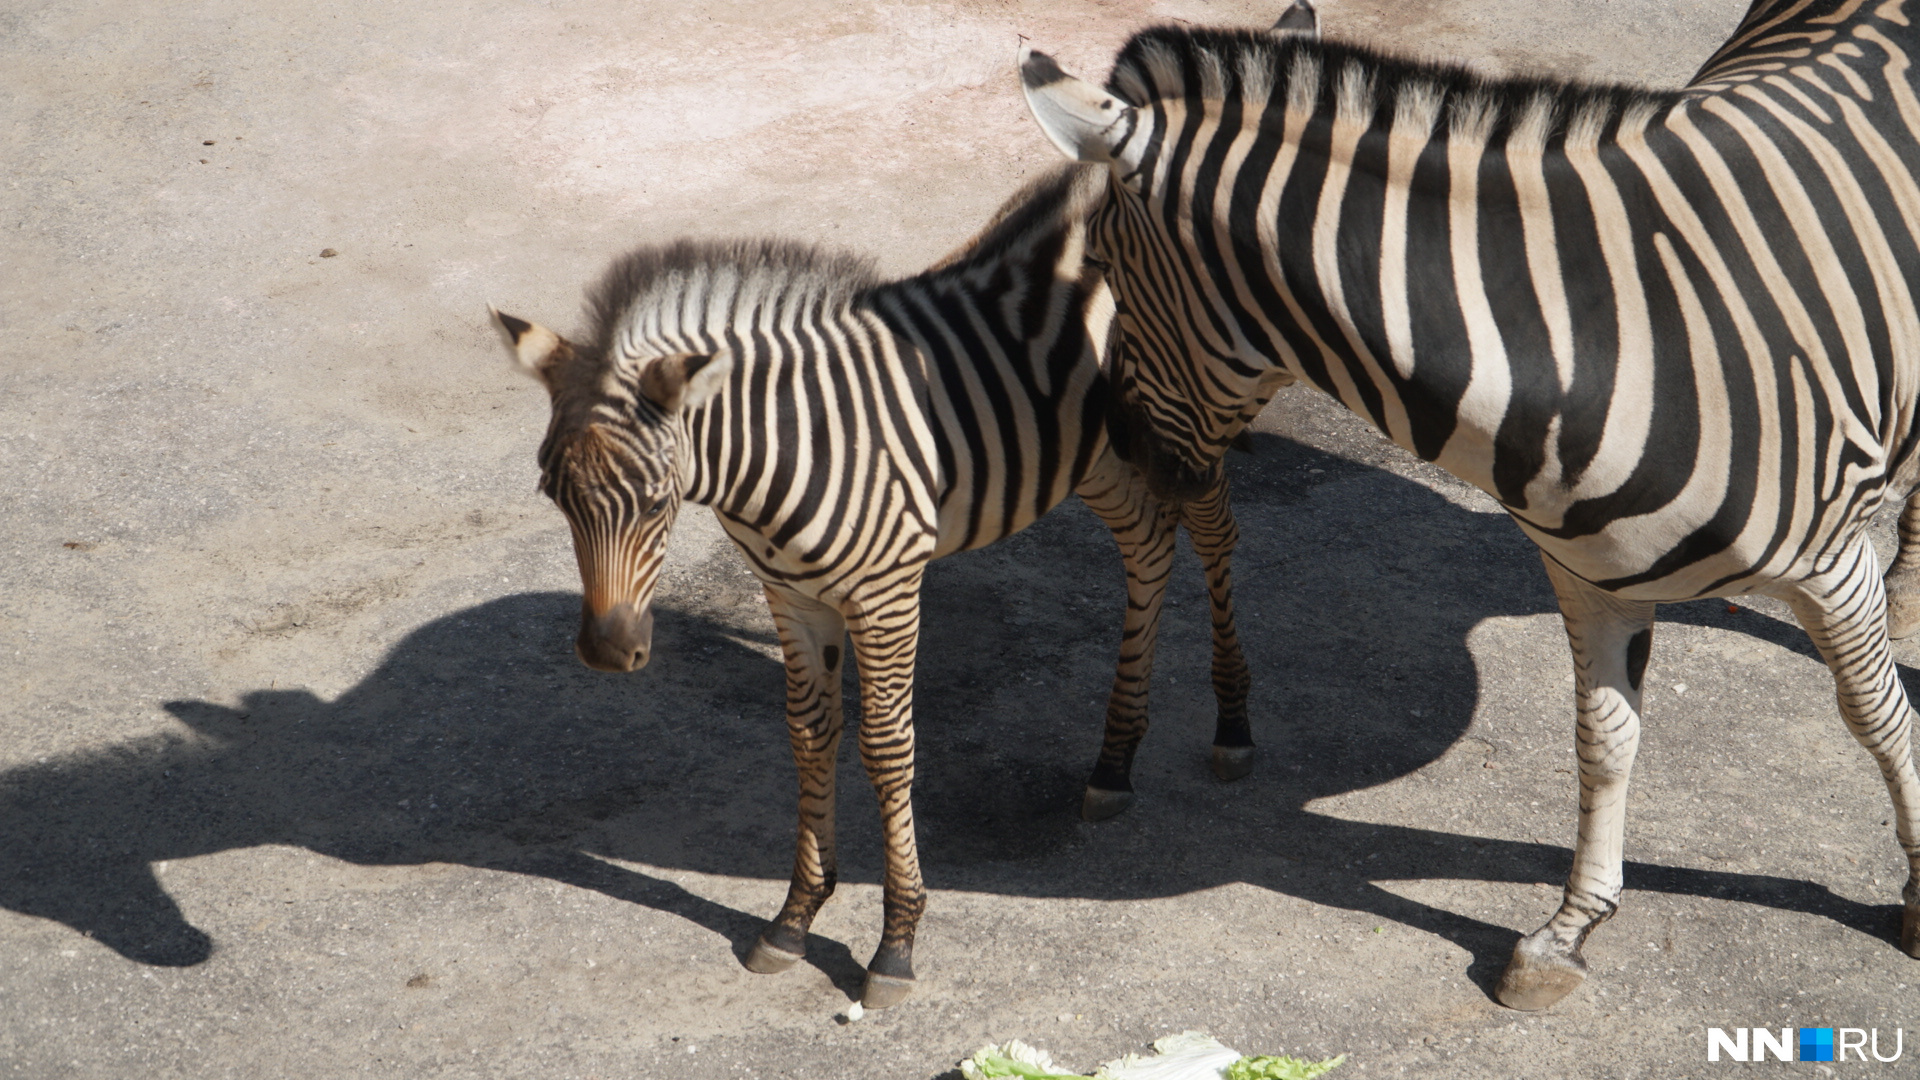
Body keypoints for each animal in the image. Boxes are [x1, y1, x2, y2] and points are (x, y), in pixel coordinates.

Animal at [487, 164, 1251, 1006]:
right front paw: (795, 916)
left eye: (657, 504)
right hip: (1098, 452)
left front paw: (896, 943)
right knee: (1147, 544)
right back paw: (1114, 763)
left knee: (1214, 527)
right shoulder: (790, 594)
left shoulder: (887, 595)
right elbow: (809, 733)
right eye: (551, 494)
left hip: (1193, 420)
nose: (605, 651)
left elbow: (886, 747)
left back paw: (1233, 724)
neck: (785, 449)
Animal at [1029, 2, 1920, 1006]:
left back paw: (1908, 590)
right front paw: (1568, 931)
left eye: (1102, 259)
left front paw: (1917, 897)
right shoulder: (1589, 576)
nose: (1134, 460)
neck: (1595, 342)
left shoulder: (1834, 565)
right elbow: (1604, 738)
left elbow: (1878, 717)